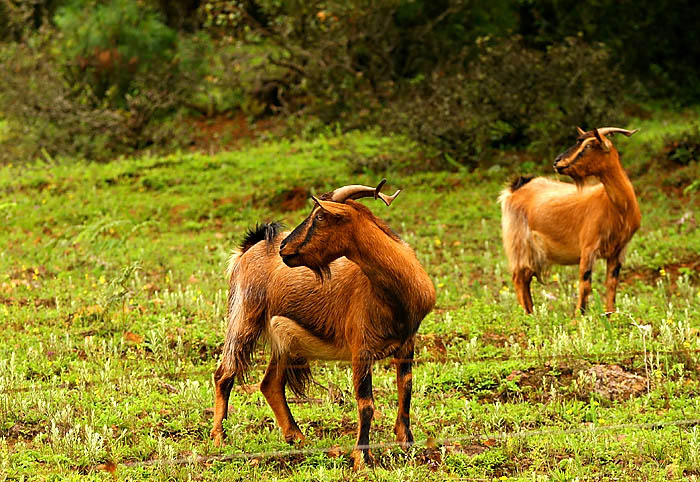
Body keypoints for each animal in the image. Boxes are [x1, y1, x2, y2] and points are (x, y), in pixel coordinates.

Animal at [211, 179, 434, 468]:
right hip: (244, 315)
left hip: (283, 341)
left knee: (270, 384)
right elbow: (366, 403)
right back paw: (219, 439)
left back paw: (297, 438)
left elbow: (405, 389)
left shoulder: (407, 342)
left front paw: (407, 445)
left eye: (319, 216)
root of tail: (248, 249)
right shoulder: (361, 347)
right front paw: (362, 458)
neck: (396, 295)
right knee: (224, 374)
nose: (284, 248)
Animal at [498, 127, 640, 316]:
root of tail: (516, 187)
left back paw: (532, 314)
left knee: (525, 278)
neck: (618, 208)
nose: (557, 162)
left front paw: (611, 316)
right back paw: (528, 316)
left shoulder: (618, 250)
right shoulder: (588, 247)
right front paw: (579, 316)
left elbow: (611, 284)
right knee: (519, 278)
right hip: (519, 243)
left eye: (589, 145)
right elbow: (585, 284)